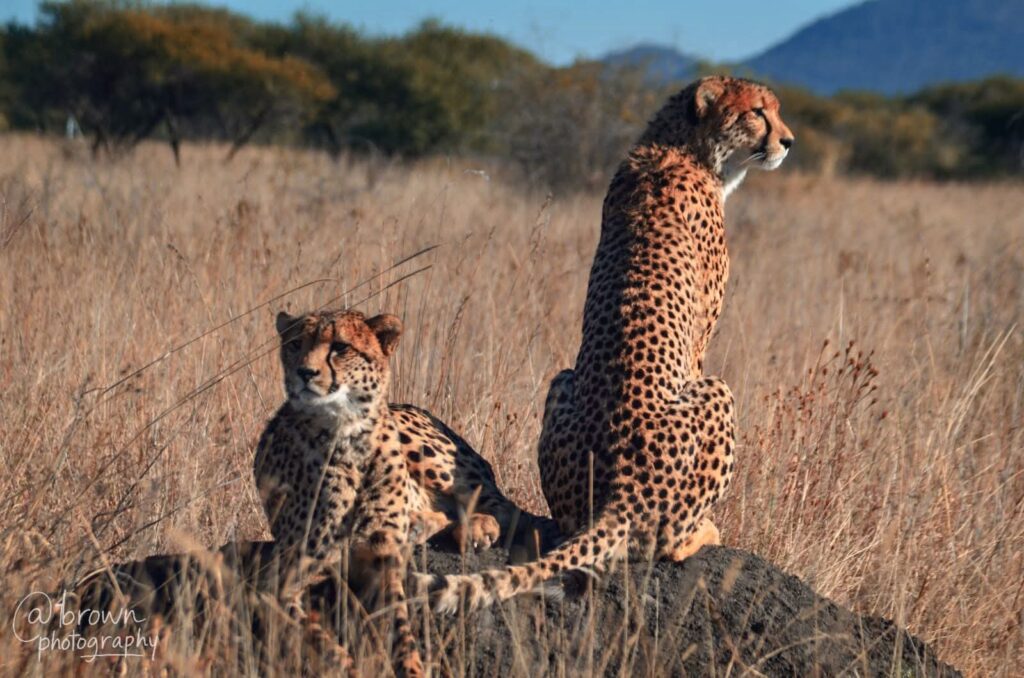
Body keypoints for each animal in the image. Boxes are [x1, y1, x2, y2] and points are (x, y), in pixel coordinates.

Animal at [416, 76, 794, 612]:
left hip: (562, 382)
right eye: (758, 112)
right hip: (719, 391)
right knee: (667, 545)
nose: (788, 141)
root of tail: (620, 493)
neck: (682, 147)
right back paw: (705, 532)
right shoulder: (700, 349)